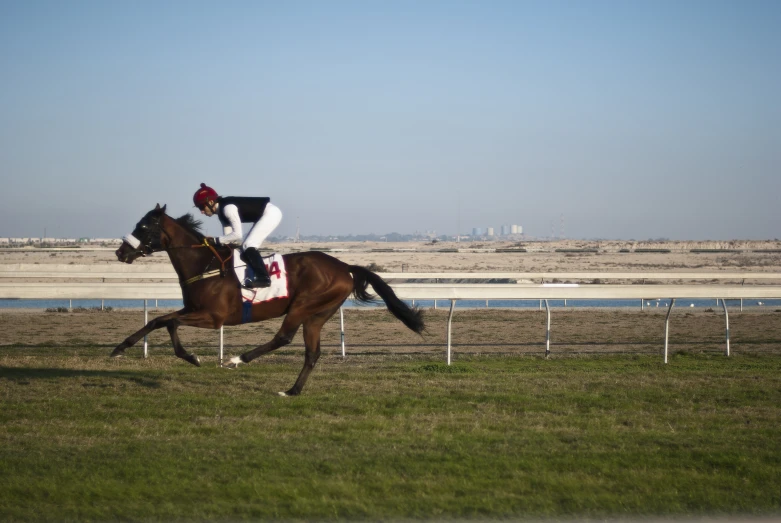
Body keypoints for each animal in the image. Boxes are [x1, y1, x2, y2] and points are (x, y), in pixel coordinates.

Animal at [112, 205, 424, 398]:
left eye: (142, 227)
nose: (120, 252)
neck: (204, 265)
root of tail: (344, 266)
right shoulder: (193, 309)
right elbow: (161, 320)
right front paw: (121, 347)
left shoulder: (213, 317)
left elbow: (168, 322)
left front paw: (191, 356)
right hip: (318, 314)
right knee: (312, 353)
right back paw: (292, 391)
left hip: (303, 305)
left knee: (284, 337)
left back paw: (238, 360)